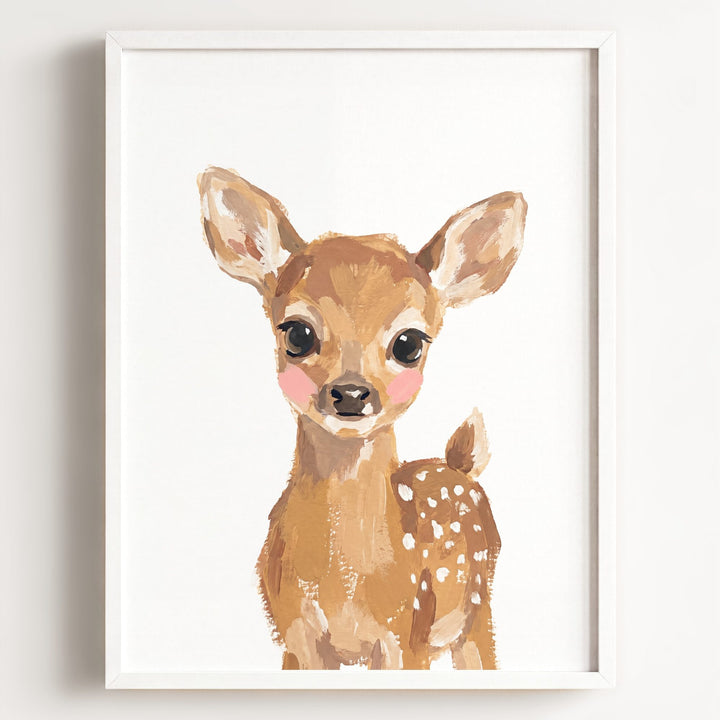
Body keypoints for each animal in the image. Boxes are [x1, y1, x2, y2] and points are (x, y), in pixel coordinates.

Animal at [198, 167, 527, 670]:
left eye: (409, 342)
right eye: (297, 333)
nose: (351, 393)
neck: (346, 583)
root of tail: (459, 466)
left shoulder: (406, 635)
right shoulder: (295, 637)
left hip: (476, 610)